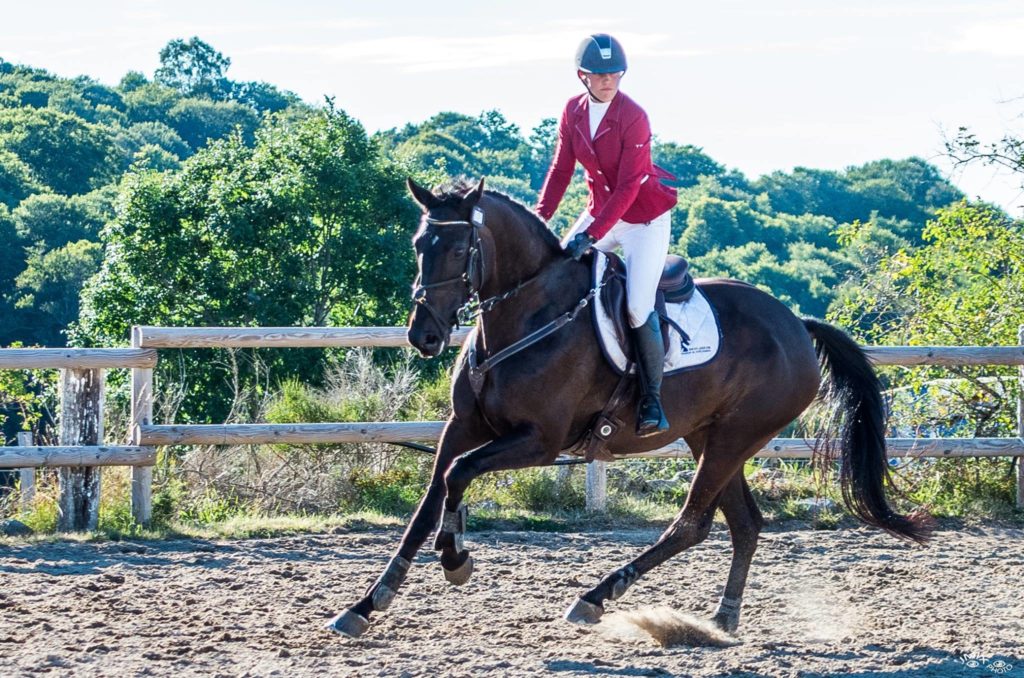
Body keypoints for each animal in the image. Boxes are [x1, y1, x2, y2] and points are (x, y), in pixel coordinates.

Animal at [325, 178, 929, 639]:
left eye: (456, 249)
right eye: (418, 243)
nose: (423, 335)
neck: (524, 315)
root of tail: (797, 325)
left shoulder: (539, 441)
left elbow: (458, 475)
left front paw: (455, 559)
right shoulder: (462, 426)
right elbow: (430, 499)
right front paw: (367, 604)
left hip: (735, 436)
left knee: (692, 525)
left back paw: (595, 599)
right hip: (710, 436)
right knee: (744, 524)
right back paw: (722, 619)